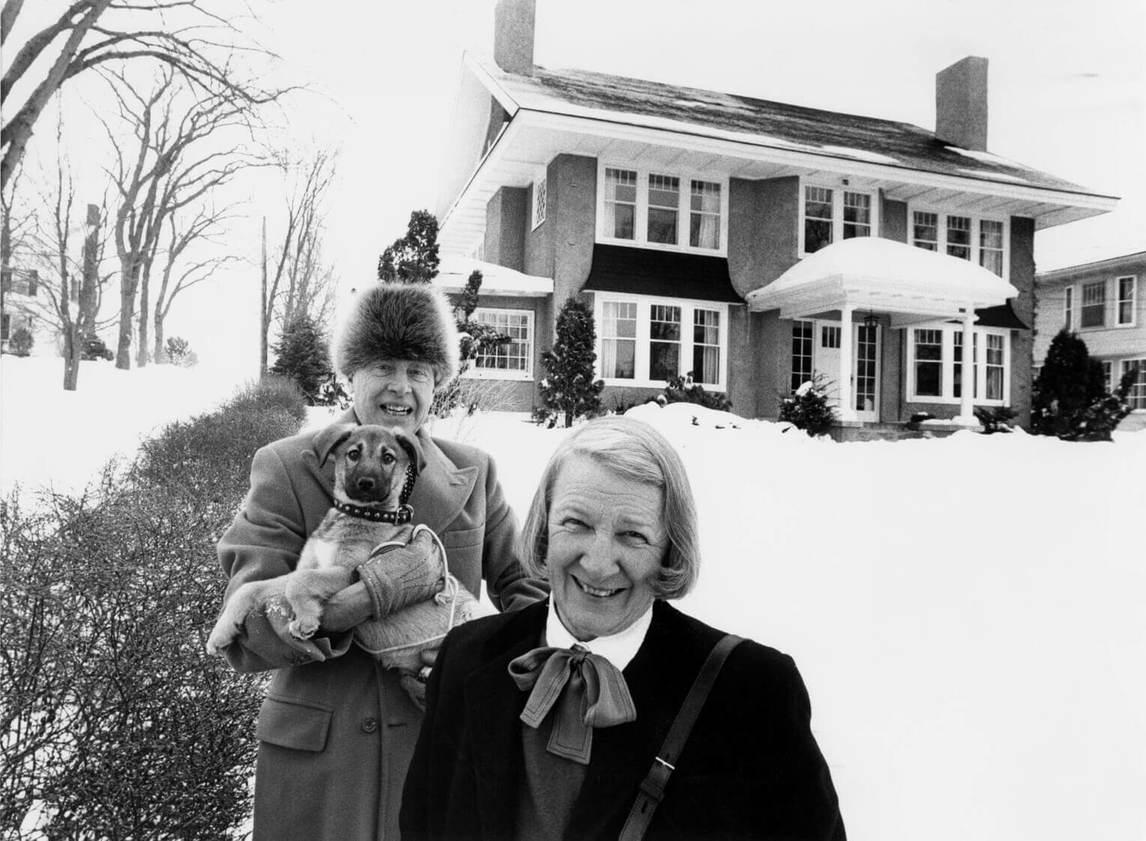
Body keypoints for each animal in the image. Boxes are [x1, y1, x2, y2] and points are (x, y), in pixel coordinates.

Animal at [203, 423, 440, 655]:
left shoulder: (350, 572)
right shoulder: (309, 566)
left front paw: (305, 619)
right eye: (353, 454)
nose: (366, 483)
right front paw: (221, 632)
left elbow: (300, 582)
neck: (358, 514)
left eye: (388, 458)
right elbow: (249, 588)